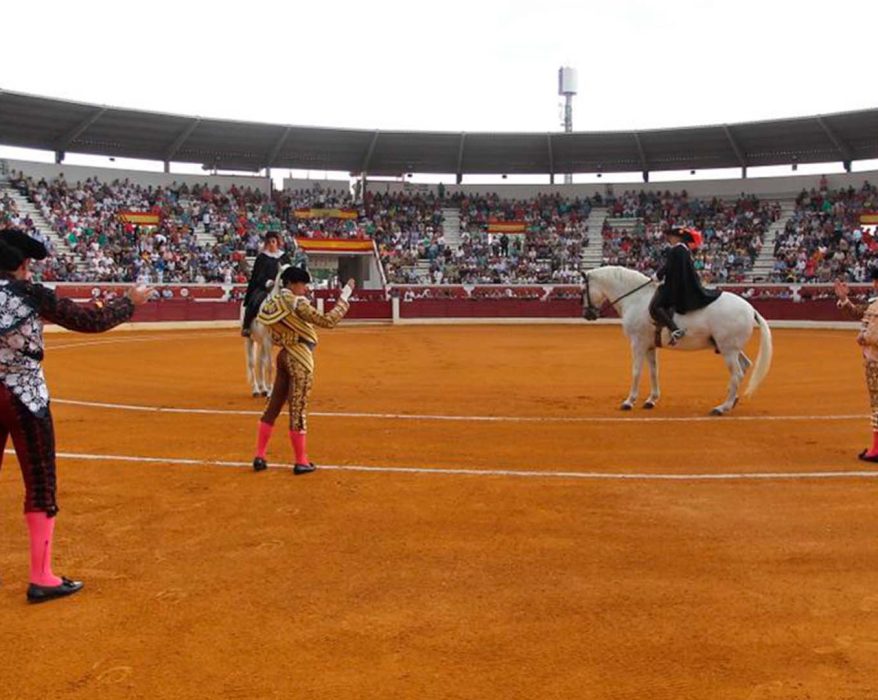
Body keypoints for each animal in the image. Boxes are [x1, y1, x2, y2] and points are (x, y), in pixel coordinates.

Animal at [588, 266, 772, 412]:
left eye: (584, 289)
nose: (589, 314)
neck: (636, 299)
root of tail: (750, 308)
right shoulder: (649, 346)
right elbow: (654, 371)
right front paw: (651, 400)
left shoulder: (637, 344)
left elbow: (636, 371)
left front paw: (629, 402)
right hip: (730, 348)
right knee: (744, 366)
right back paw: (732, 400)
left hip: (728, 350)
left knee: (737, 374)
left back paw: (722, 407)